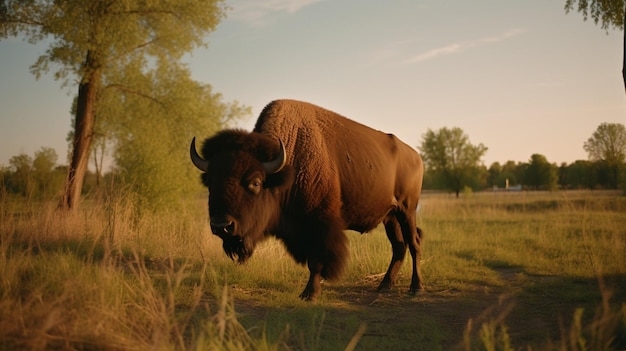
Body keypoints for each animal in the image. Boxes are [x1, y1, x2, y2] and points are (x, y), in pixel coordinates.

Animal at [190, 100, 424, 302]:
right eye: (210, 181)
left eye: (255, 183)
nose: (222, 226)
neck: (288, 165)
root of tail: (416, 156)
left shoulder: (319, 223)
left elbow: (316, 261)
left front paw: (309, 294)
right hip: (390, 216)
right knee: (399, 246)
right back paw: (384, 285)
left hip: (407, 210)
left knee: (413, 243)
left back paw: (416, 288)